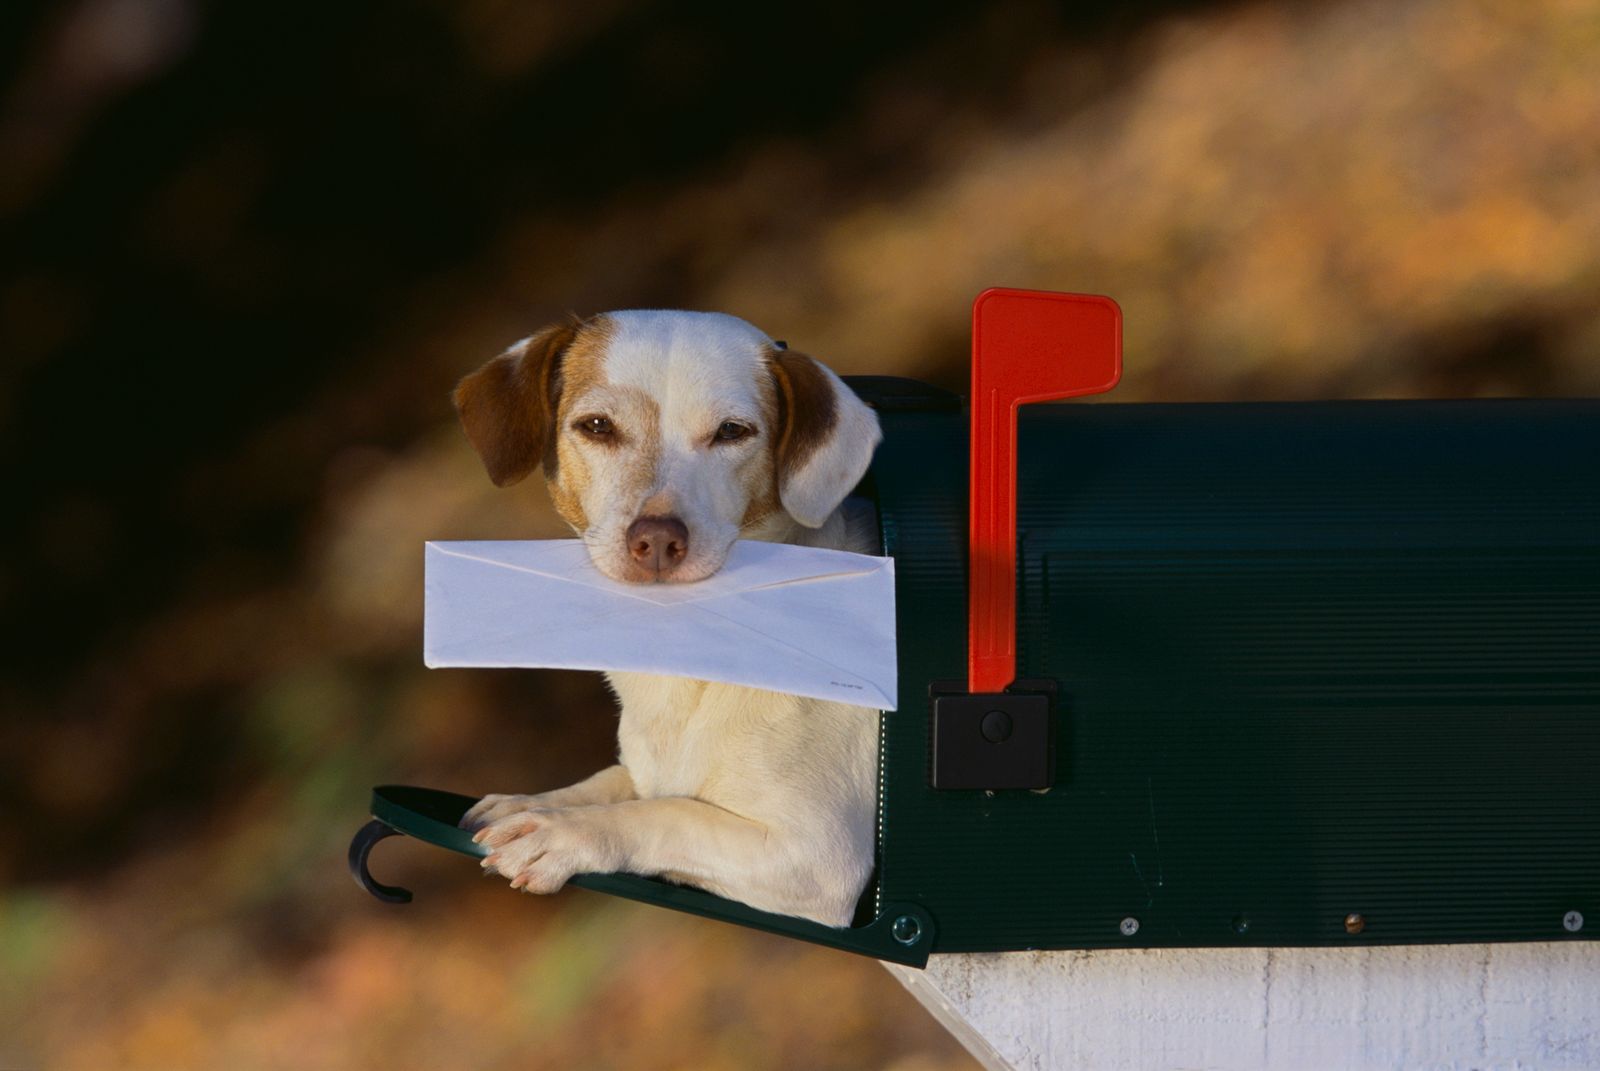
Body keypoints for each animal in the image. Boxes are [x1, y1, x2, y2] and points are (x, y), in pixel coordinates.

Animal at [451, 308, 883, 928]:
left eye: (731, 432)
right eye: (597, 426)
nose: (656, 539)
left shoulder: (818, 858)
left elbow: (672, 813)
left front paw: (562, 833)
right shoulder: (642, 770)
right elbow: (616, 781)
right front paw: (537, 802)